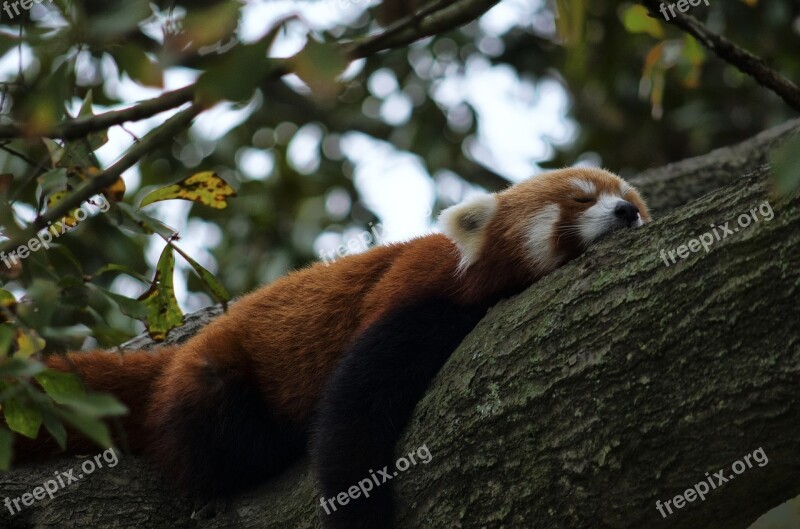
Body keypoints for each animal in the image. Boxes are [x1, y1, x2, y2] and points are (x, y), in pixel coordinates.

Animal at [10, 166, 648, 528]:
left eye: (631, 199)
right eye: (581, 199)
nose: (627, 211)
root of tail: (170, 359)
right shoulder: (413, 298)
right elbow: (351, 415)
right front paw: (361, 513)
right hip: (214, 378)